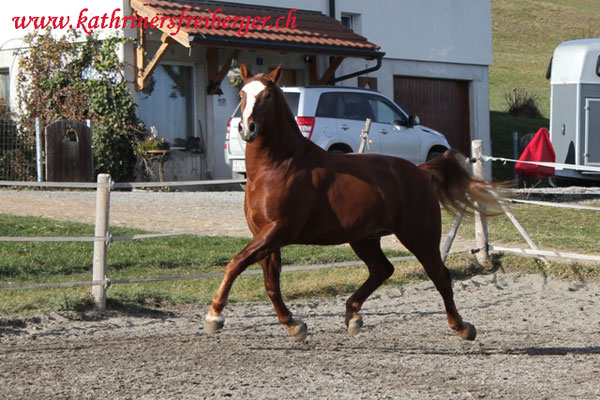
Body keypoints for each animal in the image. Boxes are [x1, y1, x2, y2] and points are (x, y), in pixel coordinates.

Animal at [204, 62, 500, 340]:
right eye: (242, 94)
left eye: (266, 96)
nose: (246, 128)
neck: (277, 167)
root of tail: (420, 170)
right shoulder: (264, 234)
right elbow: (270, 284)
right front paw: (294, 325)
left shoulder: (279, 230)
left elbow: (236, 263)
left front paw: (214, 316)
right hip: (364, 238)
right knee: (382, 270)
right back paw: (353, 315)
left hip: (419, 236)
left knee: (439, 275)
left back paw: (462, 327)